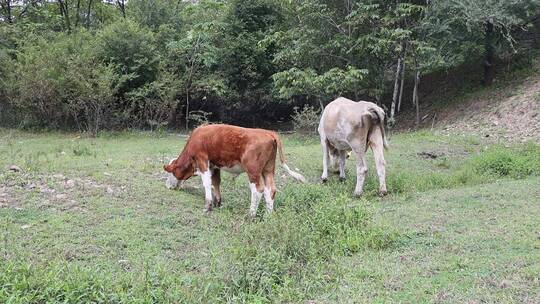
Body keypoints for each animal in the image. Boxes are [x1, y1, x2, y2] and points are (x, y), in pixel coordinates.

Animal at [162, 123, 306, 216]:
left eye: (170, 173)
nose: (167, 186)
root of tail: (268, 132)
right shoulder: (215, 165)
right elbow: (216, 183)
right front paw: (218, 203)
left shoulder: (202, 160)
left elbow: (207, 183)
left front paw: (208, 206)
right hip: (268, 169)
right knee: (270, 190)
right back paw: (268, 215)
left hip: (253, 170)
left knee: (258, 190)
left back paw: (251, 214)